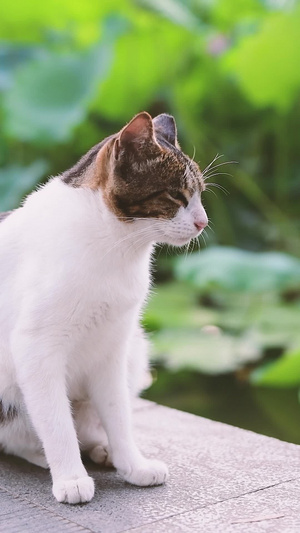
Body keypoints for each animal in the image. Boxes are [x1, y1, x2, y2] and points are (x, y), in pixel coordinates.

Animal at [0, 111, 206, 502]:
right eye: (176, 194)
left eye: (201, 194)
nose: (203, 222)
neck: (116, 247)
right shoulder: (37, 347)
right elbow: (55, 420)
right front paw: (70, 477)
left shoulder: (112, 346)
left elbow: (118, 414)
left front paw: (133, 465)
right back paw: (42, 455)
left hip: (136, 350)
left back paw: (101, 449)